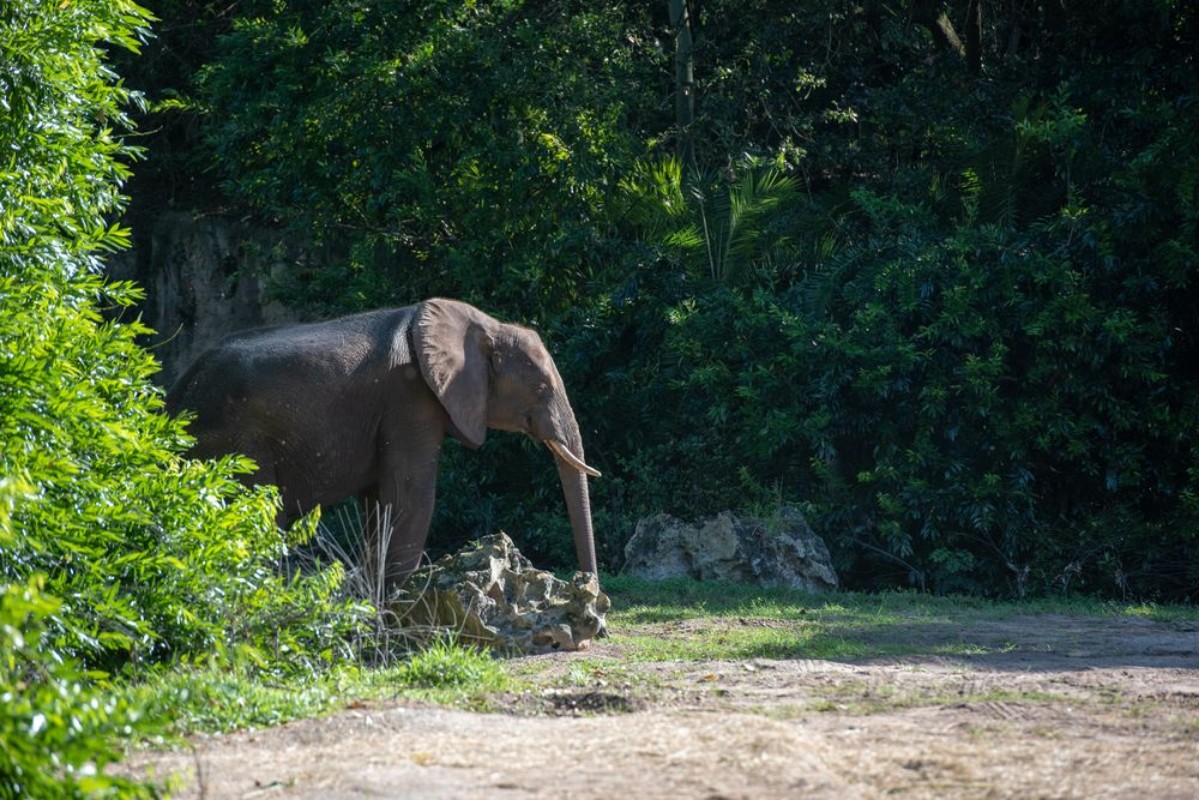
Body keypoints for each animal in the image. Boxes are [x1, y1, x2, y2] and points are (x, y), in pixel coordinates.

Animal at [165, 298, 601, 594]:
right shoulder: (409, 399)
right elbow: (411, 495)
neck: (483, 325)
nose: (588, 590)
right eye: (541, 388)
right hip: (235, 442)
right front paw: (397, 601)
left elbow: (379, 502)